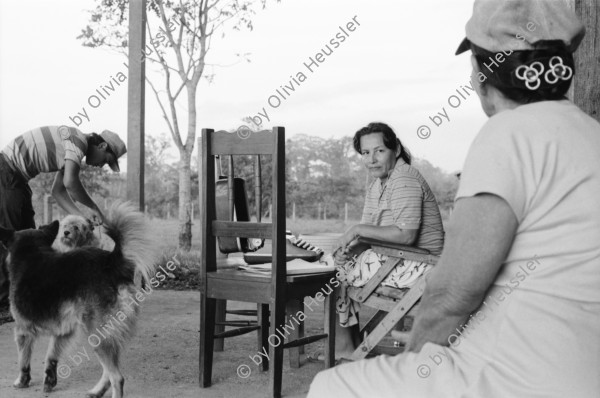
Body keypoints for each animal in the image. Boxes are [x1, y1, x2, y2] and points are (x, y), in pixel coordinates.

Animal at [0, 202, 157, 398]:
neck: (33, 255)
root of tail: (112, 261)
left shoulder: (23, 330)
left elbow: (24, 360)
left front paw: (22, 381)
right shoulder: (63, 331)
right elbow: (51, 356)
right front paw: (50, 379)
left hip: (97, 332)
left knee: (117, 377)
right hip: (106, 334)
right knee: (109, 371)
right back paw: (97, 391)